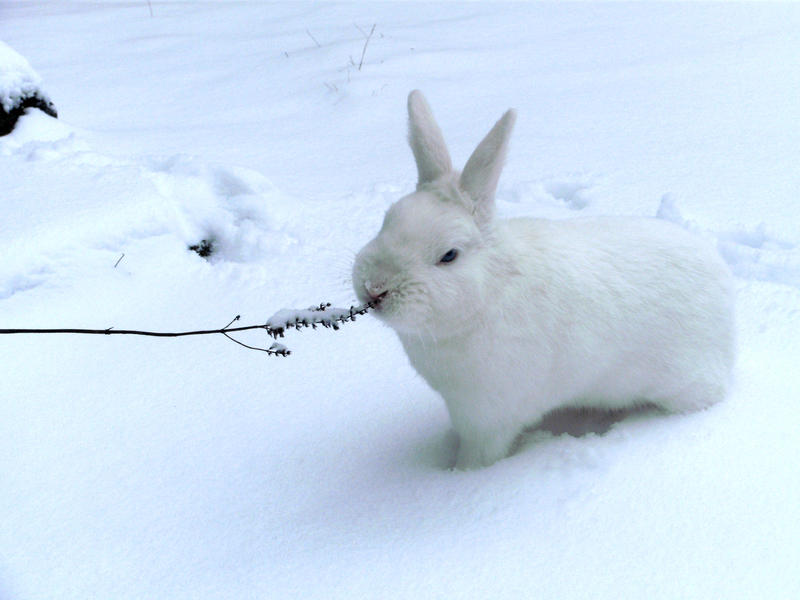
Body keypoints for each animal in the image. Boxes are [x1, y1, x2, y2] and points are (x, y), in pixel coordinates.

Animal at [352, 90, 736, 470]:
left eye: (449, 255)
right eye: (387, 220)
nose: (374, 289)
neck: (491, 290)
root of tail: (723, 287)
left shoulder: (487, 417)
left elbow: (480, 456)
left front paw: (463, 474)